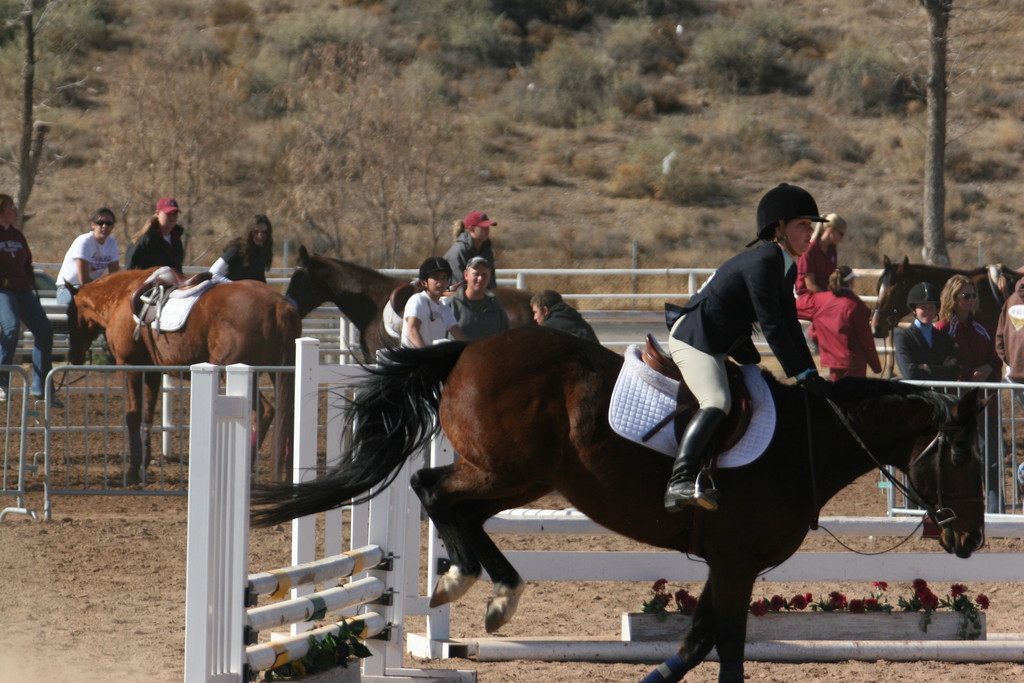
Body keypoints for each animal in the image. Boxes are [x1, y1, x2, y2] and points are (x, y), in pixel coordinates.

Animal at [66, 270, 299, 483]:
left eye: (69, 313)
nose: (74, 356)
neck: (123, 296)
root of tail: (278, 305)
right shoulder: (152, 373)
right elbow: (147, 416)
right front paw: (143, 465)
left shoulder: (130, 366)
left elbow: (133, 417)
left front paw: (132, 472)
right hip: (280, 373)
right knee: (288, 415)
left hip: (238, 372)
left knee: (265, 412)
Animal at [251, 325, 987, 683]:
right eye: (961, 457)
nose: (972, 539)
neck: (804, 442)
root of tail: (468, 349)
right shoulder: (736, 562)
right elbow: (725, 648)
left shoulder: (729, 566)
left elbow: (696, 642)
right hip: (504, 467)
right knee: (431, 490)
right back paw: (474, 583)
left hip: (523, 477)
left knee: (462, 511)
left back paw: (487, 587)